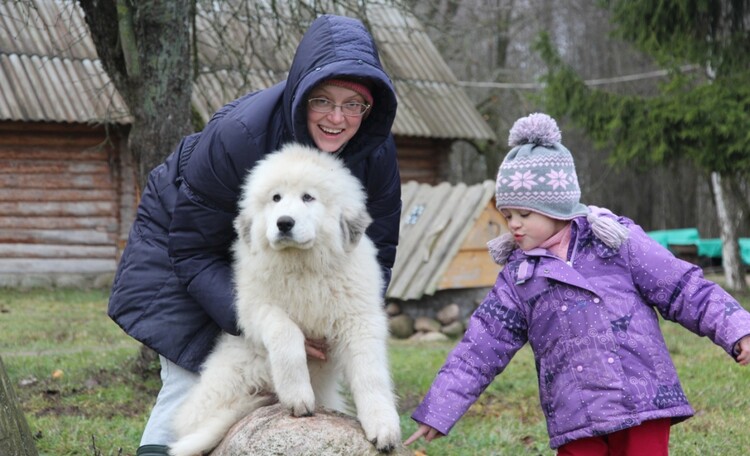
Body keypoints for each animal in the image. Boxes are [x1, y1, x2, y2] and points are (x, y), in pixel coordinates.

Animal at [167, 143, 402, 456]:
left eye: (308, 197)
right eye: (275, 198)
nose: (284, 223)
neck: (303, 266)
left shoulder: (359, 320)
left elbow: (370, 375)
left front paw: (384, 426)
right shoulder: (256, 308)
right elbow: (286, 333)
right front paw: (297, 395)